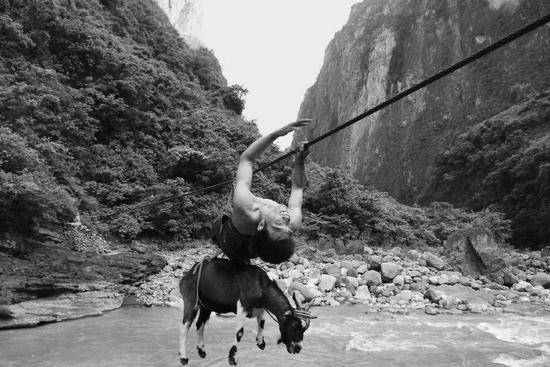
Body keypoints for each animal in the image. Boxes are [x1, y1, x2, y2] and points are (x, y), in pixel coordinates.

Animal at [179, 258, 316, 367]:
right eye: (293, 326)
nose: (298, 348)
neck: (262, 287)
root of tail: (188, 274)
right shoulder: (241, 306)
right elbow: (239, 333)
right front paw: (233, 358)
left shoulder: (260, 307)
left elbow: (262, 323)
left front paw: (261, 343)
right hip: (191, 299)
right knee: (185, 326)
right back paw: (183, 358)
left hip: (206, 305)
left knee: (200, 323)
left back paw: (201, 351)